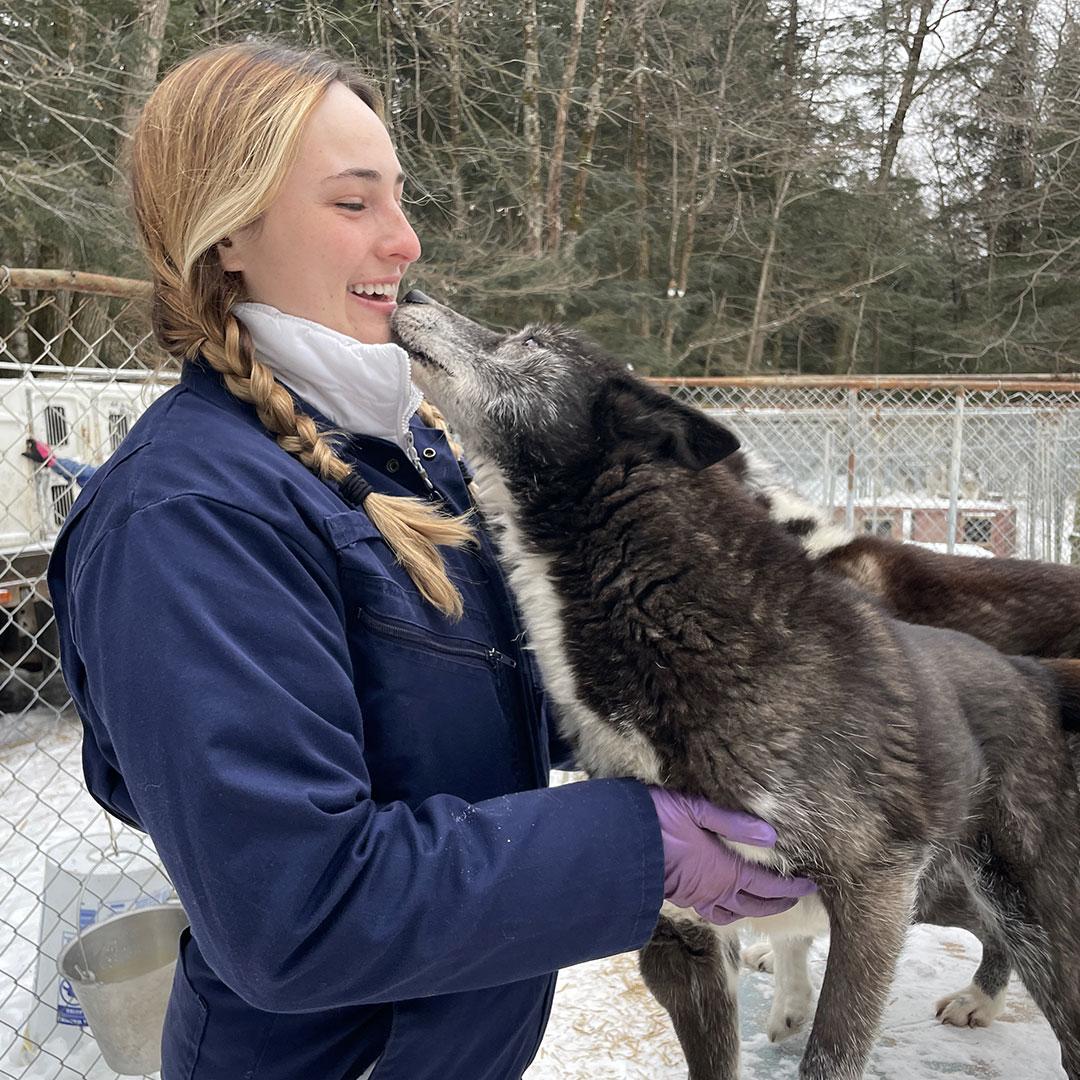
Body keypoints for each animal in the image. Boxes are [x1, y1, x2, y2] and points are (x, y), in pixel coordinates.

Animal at [393, 291, 1080, 1075]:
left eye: (531, 343)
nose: (410, 293)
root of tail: (1031, 675)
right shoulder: (683, 926)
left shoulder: (875, 891)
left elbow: (830, 1050)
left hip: (1023, 908)